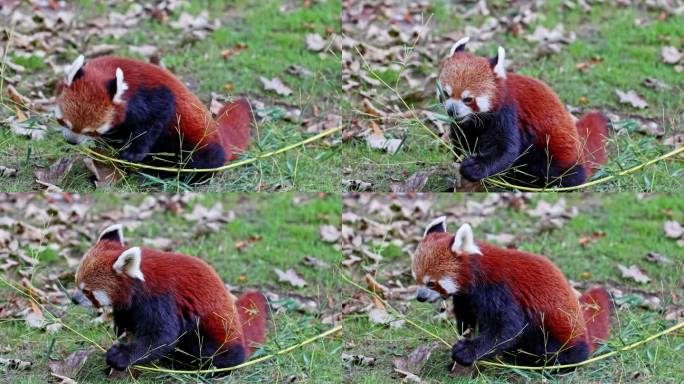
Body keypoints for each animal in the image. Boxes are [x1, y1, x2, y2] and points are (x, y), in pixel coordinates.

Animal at [53, 55, 251, 171]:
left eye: (91, 131)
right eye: (63, 121)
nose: (72, 141)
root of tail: (220, 135)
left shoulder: (155, 97)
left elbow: (153, 122)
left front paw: (133, 153)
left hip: (199, 143)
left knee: (201, 161)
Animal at [74, 224, 268, 370]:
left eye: (87, 291)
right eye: (77, 284)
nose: (74, 299)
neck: (139, 281)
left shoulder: (160, 299)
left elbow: (161, 336)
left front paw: (120, 356)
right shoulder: (131, 306)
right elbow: (126, 319)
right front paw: (120, 334)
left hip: (213, 334)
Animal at [412, 218, 608, 368]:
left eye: (431, 283)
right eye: (415, 278)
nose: (420, 297)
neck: (476, 273)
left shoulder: (498, 291)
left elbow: (507, 327)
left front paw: (466, 351)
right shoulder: (466, 297)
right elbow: (467, 317)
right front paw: (465, 334)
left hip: (558, 334)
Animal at [438, 36, 608, 187]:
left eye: (468, 99)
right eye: (446, 93)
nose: (451, 111)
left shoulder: (508, 114)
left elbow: (506, 149)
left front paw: (474, 167)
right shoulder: (466, 126)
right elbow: (462, 139)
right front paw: (458, 157)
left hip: (554, 154)